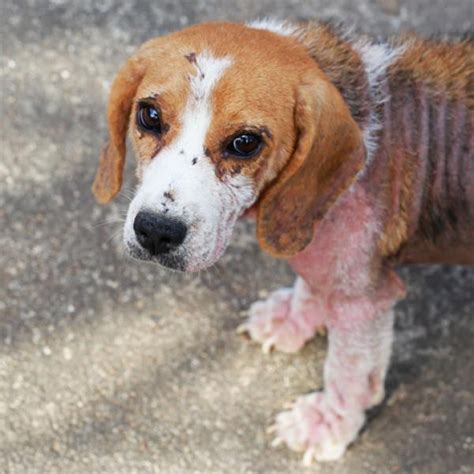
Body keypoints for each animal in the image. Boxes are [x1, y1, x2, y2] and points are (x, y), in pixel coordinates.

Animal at [91, 20, 470, 464]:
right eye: (149, 116)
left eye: (244, 142)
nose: (155, 231)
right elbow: (310, 280)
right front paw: (294, 319)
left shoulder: (363, 301)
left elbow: (347, 373)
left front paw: (326, 424)